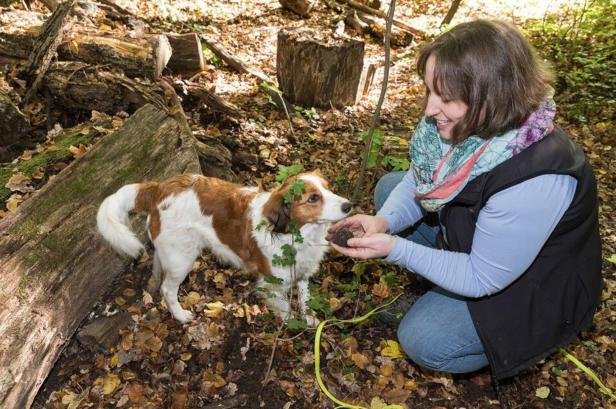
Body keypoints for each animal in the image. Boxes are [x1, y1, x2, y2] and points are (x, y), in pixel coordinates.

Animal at [96, 171, 352, 324]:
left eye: (328, 188)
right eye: (313, 198)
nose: (349, 205)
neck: (293, 235)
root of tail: (160, 187)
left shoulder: (302, 273)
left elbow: (305, 300)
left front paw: (310, 320)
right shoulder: (272, 284)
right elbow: (287, 309)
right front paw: (292, 328)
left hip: (170, 250)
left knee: (158, 266)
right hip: (183, 259)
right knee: (168, 289)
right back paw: (180, 315)